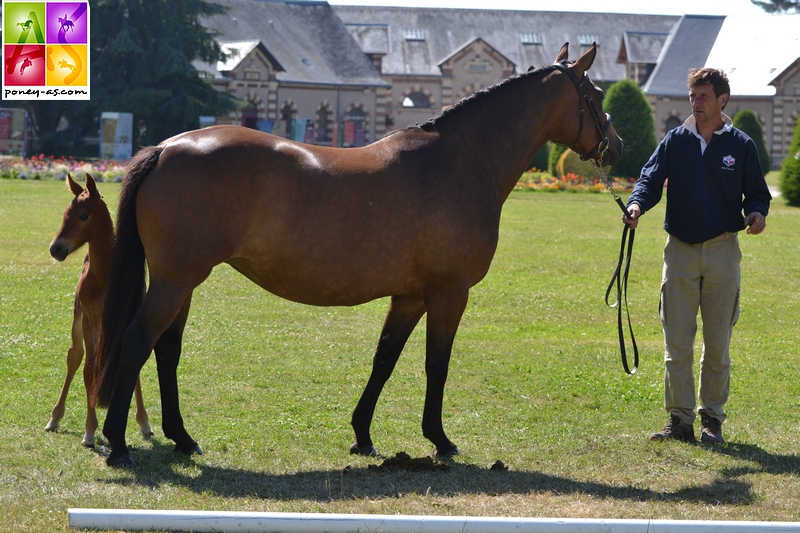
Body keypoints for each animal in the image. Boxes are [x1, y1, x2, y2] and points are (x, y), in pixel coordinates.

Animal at [47, 174, 153, 444]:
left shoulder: (127, 319)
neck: (105, 275)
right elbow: (89, 369)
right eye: (65, 213)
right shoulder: (89, 321)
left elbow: (130, 364)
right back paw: (55, 417)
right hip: (78, 318)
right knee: (75, 356)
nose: (56, 248)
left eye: (84, 215)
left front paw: (143, 421)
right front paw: (90, 430)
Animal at [97, 42, 620, 466]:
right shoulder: (448, 293)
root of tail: (165, 148)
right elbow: (437, 364)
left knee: (166, 348)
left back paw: (182, 439)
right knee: (137, 340)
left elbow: (384, 359)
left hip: (182, 281)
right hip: (174, 281)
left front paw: (363, 435)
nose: (616, 147)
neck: (457, 162)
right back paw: (119, 445)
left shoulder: (410, 296)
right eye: (595, 96)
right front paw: (440, 440)